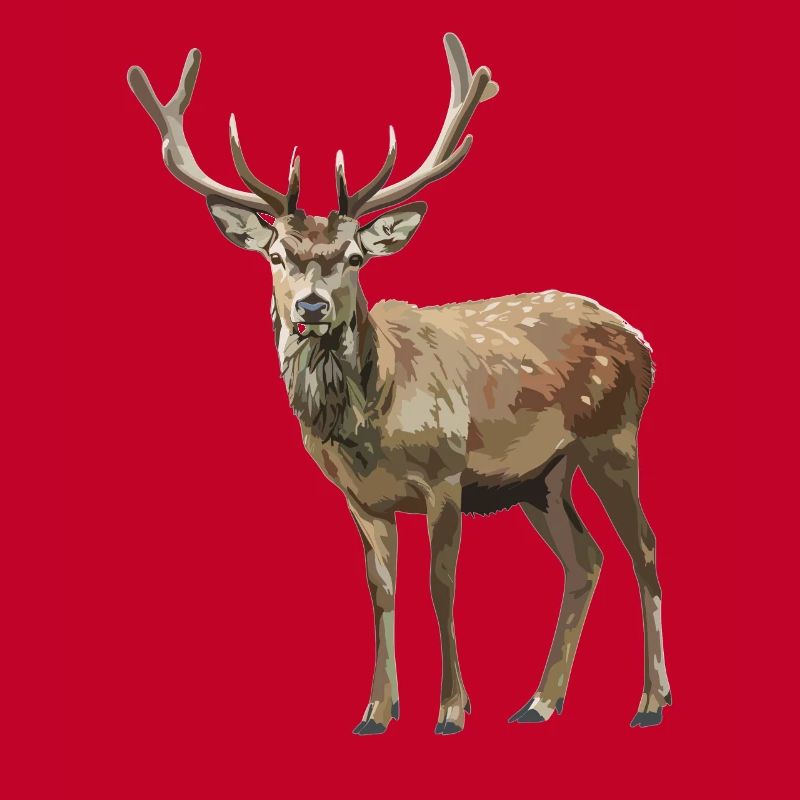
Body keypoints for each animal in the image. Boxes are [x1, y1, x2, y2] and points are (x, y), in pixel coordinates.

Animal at [127, 33, 671, 736]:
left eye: (355, 256)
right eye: (276, 255)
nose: (311, 307)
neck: (370, 424)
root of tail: (643, 343)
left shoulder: (446, 473)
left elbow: (441, 586)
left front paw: (451, 710)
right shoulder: (361, 498)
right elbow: (382, 590)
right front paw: (377, 711)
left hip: (613, 437)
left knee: (644, 549)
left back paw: (651, 701)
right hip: (540, 478)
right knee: (586, 559)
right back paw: (540, 702)